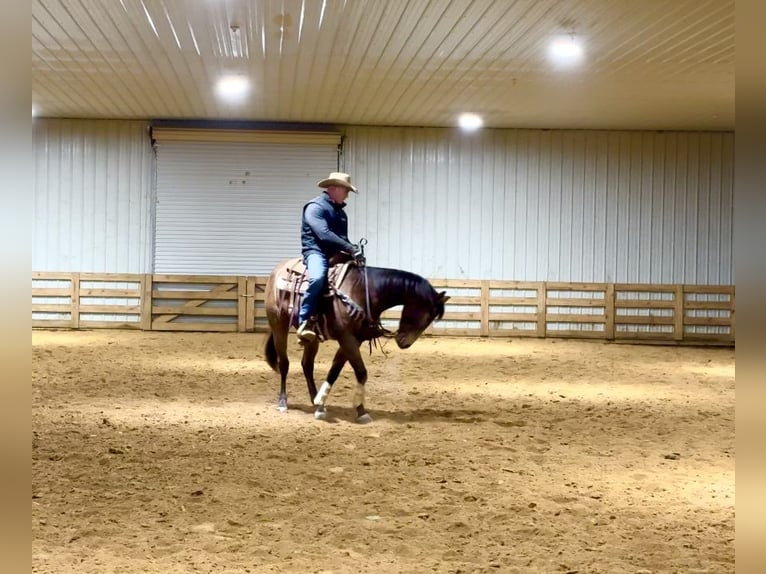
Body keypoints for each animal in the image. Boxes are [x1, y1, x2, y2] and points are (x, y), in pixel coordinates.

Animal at [262, 258, 448, 426]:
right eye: (427, 317)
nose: (404, 343)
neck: (364, 291)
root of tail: (276, 271)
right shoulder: (347, 338)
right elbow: (361, 372)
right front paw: (360, 410)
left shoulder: (355, 340)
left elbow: (335, 371)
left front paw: (323, 405)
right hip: (279, 326)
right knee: (284, 364)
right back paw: (283, 402)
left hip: (312, 339)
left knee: (307, 365)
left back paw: (314, 401)